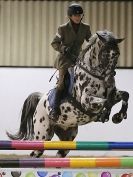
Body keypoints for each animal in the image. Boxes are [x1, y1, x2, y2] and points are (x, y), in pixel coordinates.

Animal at [6, 30, 129, 158]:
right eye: (104, 54)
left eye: (118, 54)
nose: (110, 81)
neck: (97, 75)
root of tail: (40, 99)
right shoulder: (86, 101)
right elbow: (107, 101)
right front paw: (107, 114)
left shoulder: (114, 94)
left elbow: (124, 95)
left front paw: (118, 116)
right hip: (42, 134)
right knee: (35, 153)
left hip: (67, 136)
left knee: (60, 153)